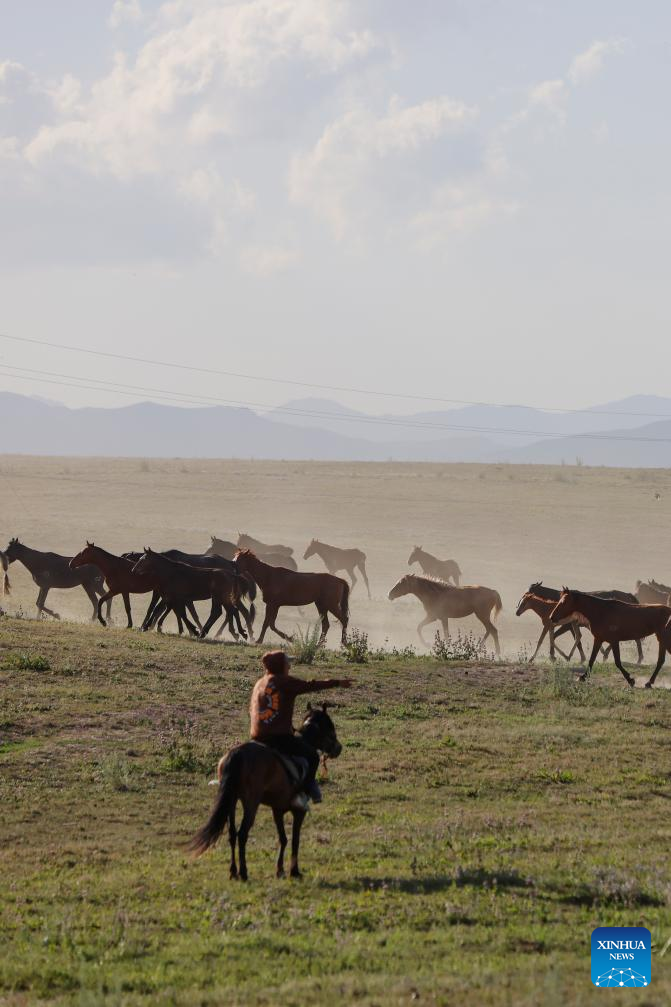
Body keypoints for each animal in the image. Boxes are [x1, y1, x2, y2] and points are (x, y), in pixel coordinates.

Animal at [190, 700, 342, 882]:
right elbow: (295, 840)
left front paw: (280, 870)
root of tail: (236, 754)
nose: (338, 748)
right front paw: (294, 871)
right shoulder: (298, 812)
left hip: (231, 801)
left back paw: (233, 871)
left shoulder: (277, 810)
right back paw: (244, 872)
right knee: (242, 834)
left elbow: (283, 838)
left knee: (232, 834)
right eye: (330, 726)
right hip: (251, 803)